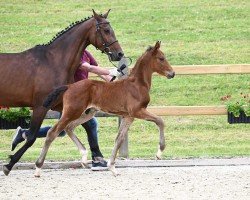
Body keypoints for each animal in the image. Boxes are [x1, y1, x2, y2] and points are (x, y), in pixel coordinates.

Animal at [0, 9, 123, 175]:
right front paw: (9, 165)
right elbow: (32, 136)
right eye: (106, 30)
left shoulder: (63, 103)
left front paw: (86, 156)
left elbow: (71, 125)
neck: (54, 62)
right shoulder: (41, 106)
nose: (119, 54)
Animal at [34, 41, 175, 177]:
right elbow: (160, 121)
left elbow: (119, 139)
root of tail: (69, 86)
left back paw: (84, 157)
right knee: (52, 132)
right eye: (161, 58)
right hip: (71, 112)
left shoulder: (128, 116)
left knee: (69, 128)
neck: (137, 85)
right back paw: (38, 168)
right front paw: (159, 152)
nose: (172, 73)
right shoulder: (137, 111)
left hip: (87, 113)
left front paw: (112, 167)